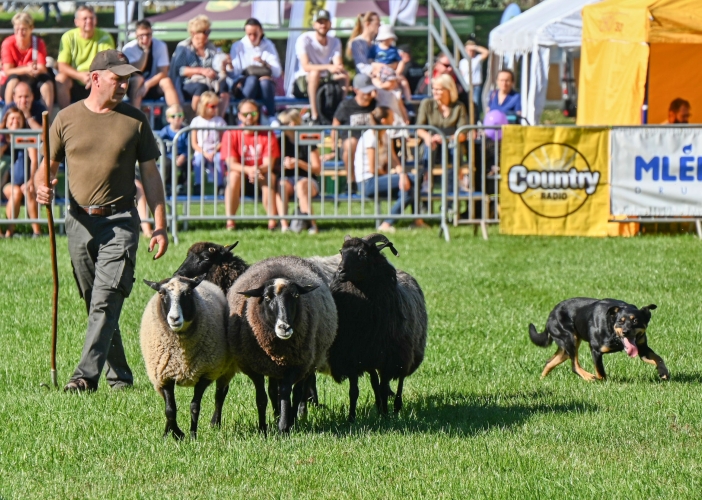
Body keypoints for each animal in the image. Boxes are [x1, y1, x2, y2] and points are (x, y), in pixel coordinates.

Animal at [228, 256, 338, 432]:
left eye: (295, 295)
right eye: (266, 297)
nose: (284, 327)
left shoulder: (295, 365)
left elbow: (286, 393)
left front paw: (284, 426)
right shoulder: (253, 367)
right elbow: (262, 397)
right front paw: (263, 428)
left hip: (309, 362)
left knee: (298, 391)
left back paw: (293, 418)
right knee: (274, 391)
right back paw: (276, 416)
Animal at [330, 232, 428, 420]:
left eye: (362, 253)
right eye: (341, 252)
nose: (340, 272)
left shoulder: (388, 358)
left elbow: (384, 388)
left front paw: (386, 416)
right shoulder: (352, 356)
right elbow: (354, 391)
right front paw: (351, 418)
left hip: (404, 353)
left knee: (400, 380)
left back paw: (395, 407)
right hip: (371, 357)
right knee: (375, 381)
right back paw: (379, 406)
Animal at [532, 298, 672, 380]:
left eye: (635, 321)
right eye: (620, 321)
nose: (626, 332)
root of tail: (550, 315)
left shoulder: (642, 348)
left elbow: (658, 358)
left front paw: (663, 371)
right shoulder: (596, 350)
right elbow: (600, 370)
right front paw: (602, 382)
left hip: (566, 347)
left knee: (550, 362)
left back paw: (542, 379)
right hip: (570, 338)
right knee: (574, 365)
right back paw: (589, 377)